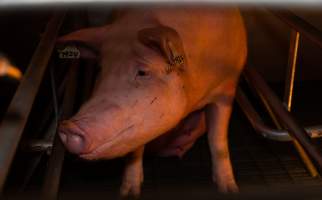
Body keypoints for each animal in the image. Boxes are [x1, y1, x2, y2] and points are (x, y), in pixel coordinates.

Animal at [57, 5, 247, 197]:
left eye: (142, 72)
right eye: (100, 69)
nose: (67, 127)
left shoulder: (227, 88)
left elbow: (218, 142)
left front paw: (230, 190)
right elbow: (135, 151)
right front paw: (129, 194)